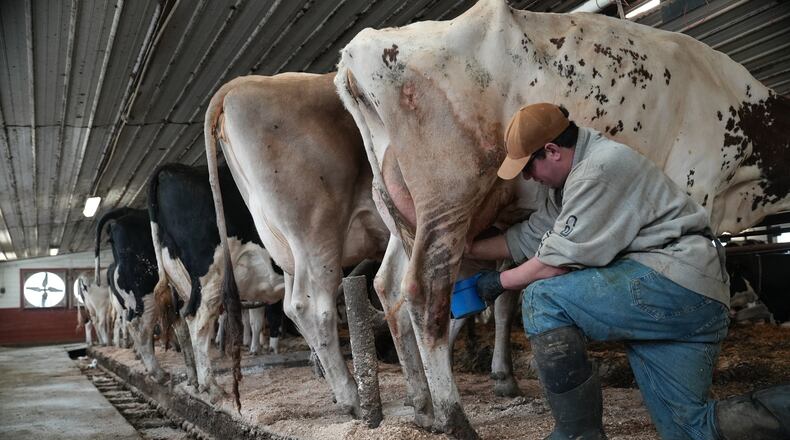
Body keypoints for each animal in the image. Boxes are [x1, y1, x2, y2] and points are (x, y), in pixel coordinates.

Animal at [147, 163, 285, 402]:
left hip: (180, 281)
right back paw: (210, 386)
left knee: (181, 322)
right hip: (210, 276)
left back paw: (193, 381)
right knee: (197, 321)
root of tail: (168, 169)